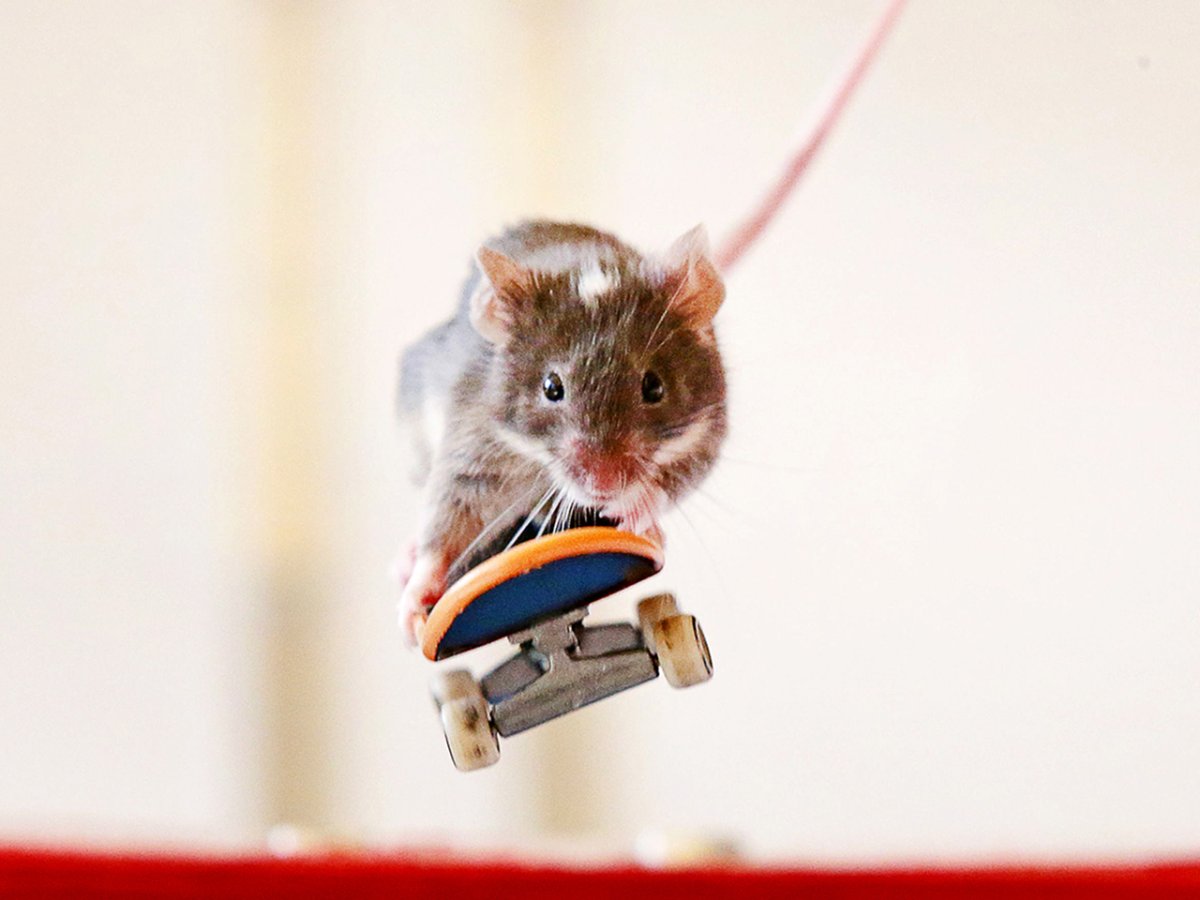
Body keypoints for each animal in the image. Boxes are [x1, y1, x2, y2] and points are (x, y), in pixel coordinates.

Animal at [396, 221, 727, 643]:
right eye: (552, 387)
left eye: (654, 387)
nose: (604, 486)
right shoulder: (473, 440)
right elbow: (449, 512)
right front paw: (415, 601)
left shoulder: (707, 431)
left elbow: (684, 474)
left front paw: (638, 507)